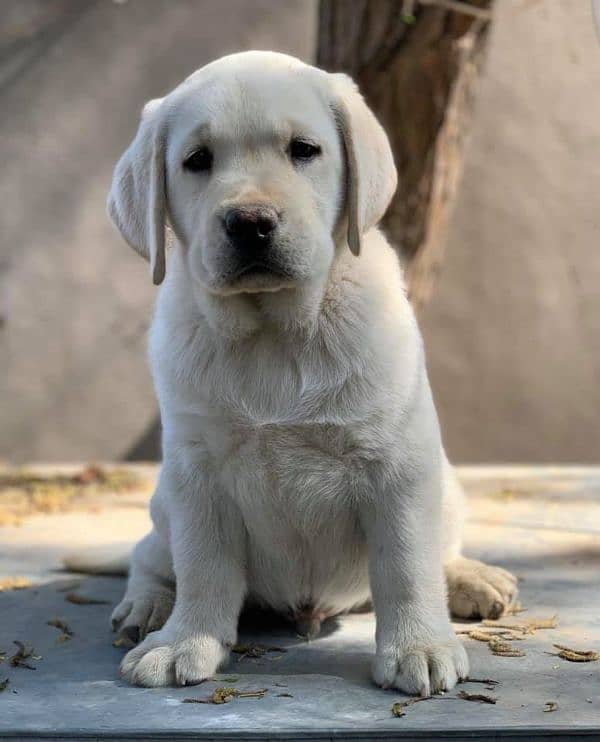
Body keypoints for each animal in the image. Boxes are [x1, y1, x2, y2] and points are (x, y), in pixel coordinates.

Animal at [102, 49, 516, 696]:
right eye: (196, 161)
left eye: (304, 150)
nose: (250, 222)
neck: (275, 331)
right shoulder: (197, 472)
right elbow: (203, 567)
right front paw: (184, 641)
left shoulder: (398, 463)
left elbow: (406, 562)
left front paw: (419, 645)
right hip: (163, 500)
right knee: (151, 557)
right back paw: (147, 607)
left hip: (445, 483)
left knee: (440, 548)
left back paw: (472, 578)